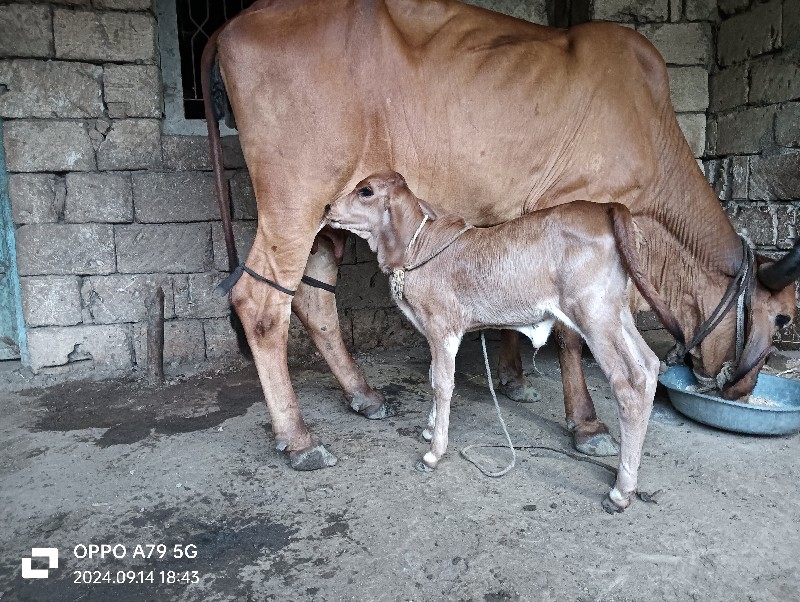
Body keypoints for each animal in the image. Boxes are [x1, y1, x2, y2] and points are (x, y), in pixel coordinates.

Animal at [202, 0, 800, 468]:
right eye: (784, 317)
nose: (743, 388)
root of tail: (237, 21)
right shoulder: (576, 210)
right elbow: (568, 334)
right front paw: (588, 425)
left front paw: (513, 377)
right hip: (295, 198)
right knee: (259, 302)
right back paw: (299, 439)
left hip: (330, 220)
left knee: (312, 298)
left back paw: (363, 395)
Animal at [328, 170, 672, 510]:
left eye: (366, 191)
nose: (328, 207)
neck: (418, 247)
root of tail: (607, 207)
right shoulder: (433, 335)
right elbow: (432, 377)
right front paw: (428, 429)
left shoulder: (442, 328)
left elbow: (443, 384)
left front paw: (434, 452)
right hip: (617, 314)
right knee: (650, 365)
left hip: (594, 315)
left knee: (629, 382)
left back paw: (621, 491)